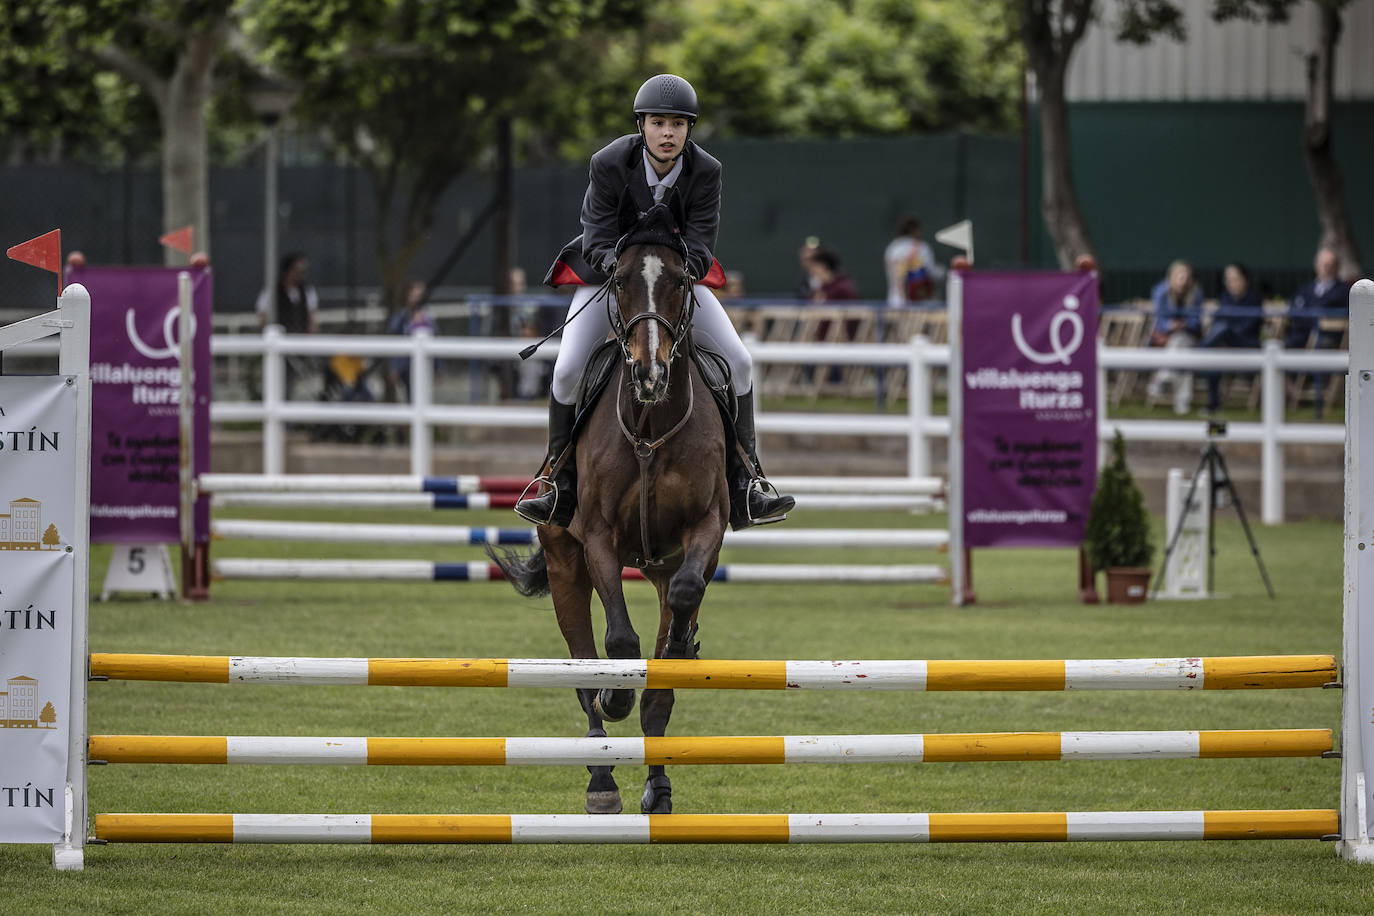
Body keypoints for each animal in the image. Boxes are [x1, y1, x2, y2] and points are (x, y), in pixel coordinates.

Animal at [491, 210, 730, 818]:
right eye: (618, 281)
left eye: (681, 281)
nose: (650, 373)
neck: (648, 426)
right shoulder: (597, 537)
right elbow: (619, 642)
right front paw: (614, 692)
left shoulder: (706, 528)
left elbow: (687, 596)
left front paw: (680, 647)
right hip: (564, 566)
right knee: (582, 668)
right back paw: (601, 775)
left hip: (656, 565)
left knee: (661, 684)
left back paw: (658, 785)